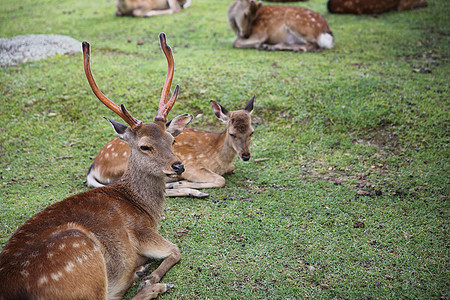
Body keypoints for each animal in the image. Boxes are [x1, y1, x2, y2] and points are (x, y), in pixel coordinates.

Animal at [0, 32, 192, 300]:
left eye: (172, 139)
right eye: (145, 146)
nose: (178, 166)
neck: (145, 209)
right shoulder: (142, 231)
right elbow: (176, 249)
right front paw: (152, 276)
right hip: (83, 255)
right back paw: (150, 281)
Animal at [87, 96, 256, 197]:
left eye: (252, 132)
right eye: (232, 133)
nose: (246, 155)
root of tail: (94, 167)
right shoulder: (192, 165)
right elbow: (221, 180)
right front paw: (184, 183)